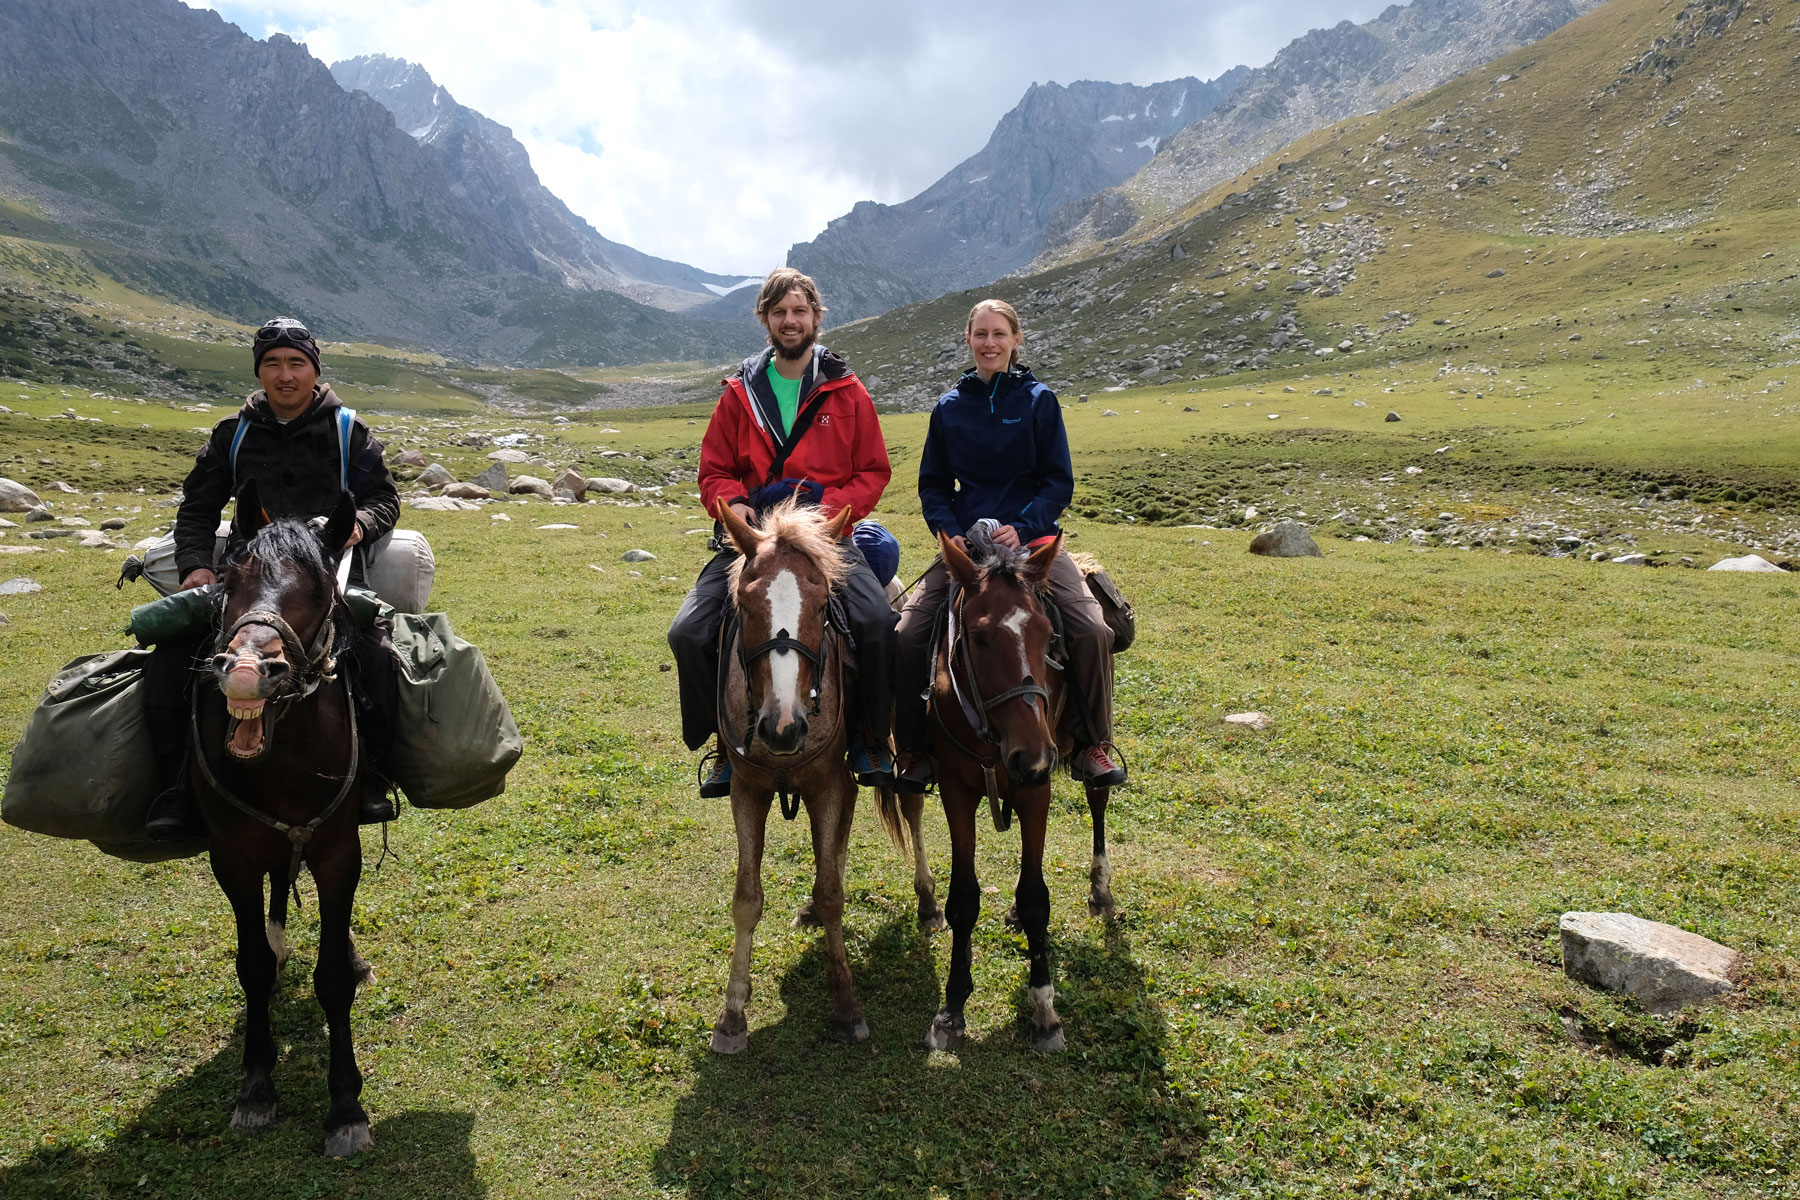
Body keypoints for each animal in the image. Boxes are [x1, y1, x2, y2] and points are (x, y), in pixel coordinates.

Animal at [190, 482, 376, 1158]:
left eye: (321, 588)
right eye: (229, 575)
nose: (248, 672)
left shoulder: (338, 853)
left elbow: (331, 979)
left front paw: (345, 1107)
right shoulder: (232, 858)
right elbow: (251, 964)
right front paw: (255, 1087)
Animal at [705, 496, 943, 1050]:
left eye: (821, 608)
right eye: (745, 606)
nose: (784, 727)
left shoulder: (830, 786)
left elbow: (834, 893)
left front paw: (846, 1005)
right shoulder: (747, 792)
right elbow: (747, 898)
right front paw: (732, 1015)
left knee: (910, 805)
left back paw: (928, 902)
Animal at [928, 532, 1108, 1050]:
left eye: (1049, 637)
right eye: (979, 636)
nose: (1032, 757)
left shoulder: (1035, 793)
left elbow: (1035, 898)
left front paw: (1044, 1008)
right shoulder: (955, 790)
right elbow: (964, 898)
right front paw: (952, 1006)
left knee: (1098, 801)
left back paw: (1101, 889)